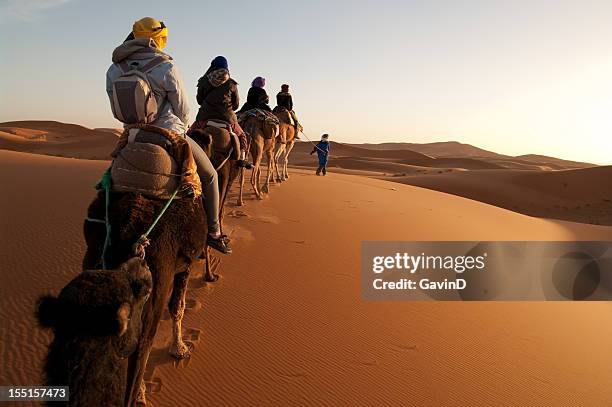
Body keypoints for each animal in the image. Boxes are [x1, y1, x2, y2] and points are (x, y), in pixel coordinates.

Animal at [82, 132, 213, 406]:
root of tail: (127, 223)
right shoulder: (183, 265)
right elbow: (177, 307)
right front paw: (180, 349)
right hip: (155, 282)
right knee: (142, 344)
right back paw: (138, 395)